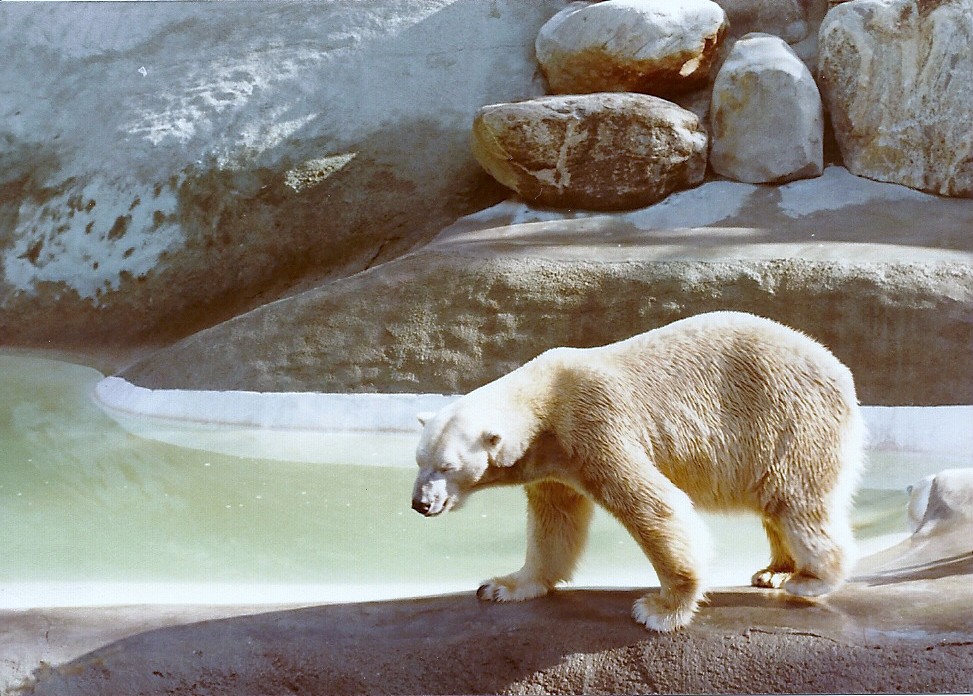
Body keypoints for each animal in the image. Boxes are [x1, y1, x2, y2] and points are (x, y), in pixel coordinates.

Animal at [411, 311, 864, 632]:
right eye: (419, 459)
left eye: (447, 465)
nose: (420, 503)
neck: (545, 405)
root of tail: (840, 371)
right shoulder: (552, 466)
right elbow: (554, 524)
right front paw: (502, 585)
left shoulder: (595, 424)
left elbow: (655, 507)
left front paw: (661, 609)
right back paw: (775, 571)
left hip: (790, 420)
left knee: (798, 501)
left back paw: (811, 579)